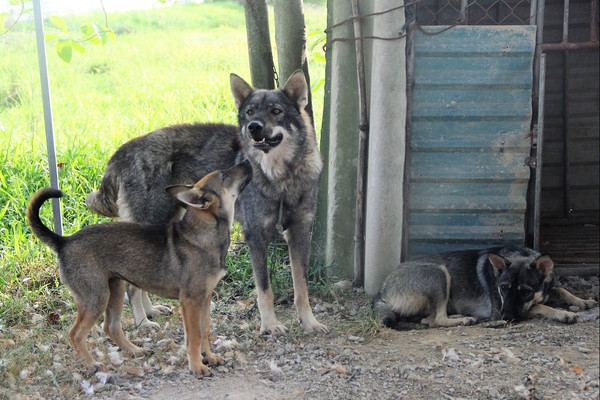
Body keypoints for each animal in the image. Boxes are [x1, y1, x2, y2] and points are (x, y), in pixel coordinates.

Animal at [27, 161, 252, 376]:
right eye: (224, 175)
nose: (248, 161)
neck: (203, 235)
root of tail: (64, 241)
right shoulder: (191, 301)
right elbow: (194, 336)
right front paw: (197, 367)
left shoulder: (204, 298)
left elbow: (204, 330)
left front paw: (209, 357)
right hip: (96, 298)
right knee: (76, 334)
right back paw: (91, 364)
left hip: (114, 290)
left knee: (111, 327)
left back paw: (135, 350)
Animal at [86, 71, 326, 334]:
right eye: (250, 112)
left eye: (276, 111)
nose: (253, 127)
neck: (281, 179)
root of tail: (124, 150)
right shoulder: (256, 237)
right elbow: (265, 290)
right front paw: (270, 324)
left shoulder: (299, 233)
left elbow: (301, 288)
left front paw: (309, 321)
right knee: (132, 286)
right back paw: (142, 321)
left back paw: (150, 311)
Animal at [372, 247, 596, 328]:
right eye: (503, 288)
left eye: (525, 291)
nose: (505, 317)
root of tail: (381, 290)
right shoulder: (499, 309)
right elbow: (540, 306)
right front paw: (562, 313)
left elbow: (560, 290)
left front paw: (582, 300)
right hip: (439, 273)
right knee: (435, 320)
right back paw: (465, 320)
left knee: (428, 318)